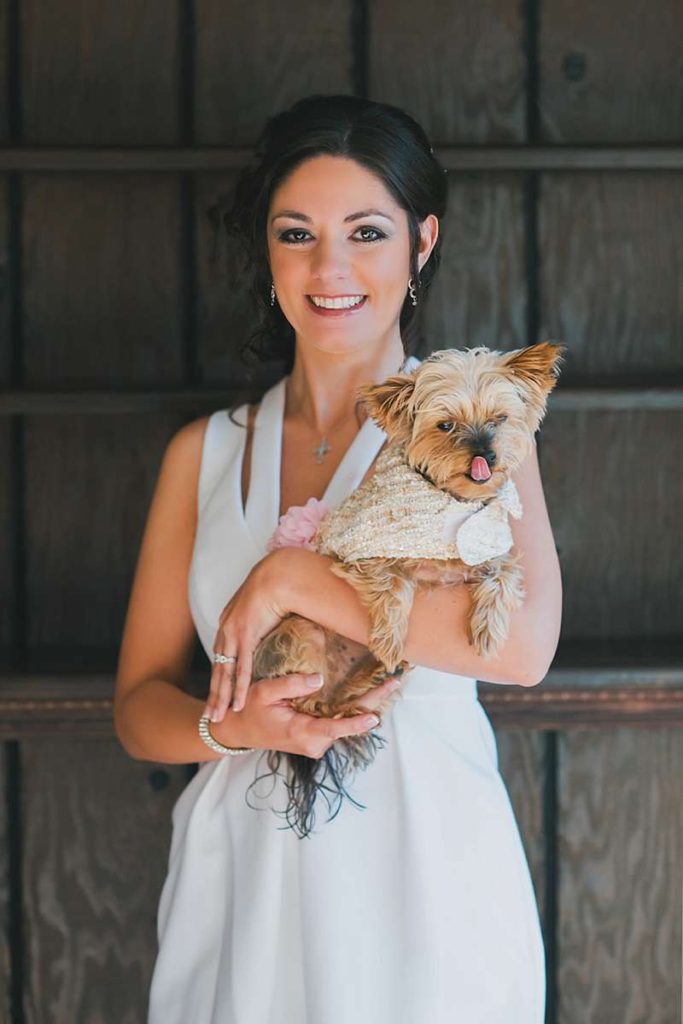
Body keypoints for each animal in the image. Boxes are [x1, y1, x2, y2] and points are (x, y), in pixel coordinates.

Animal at [248, 339, 565, 835]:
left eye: (499, 419)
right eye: (446, 425)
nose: (487, 455)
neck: (449, 501)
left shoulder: (491, 552)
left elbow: (502, 576)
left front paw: (486, 631)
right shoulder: (360, 554)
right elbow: (395, 586)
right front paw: (391, 637)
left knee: (344, 701)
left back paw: (373, 674)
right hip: (300, 636)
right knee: (314, 705)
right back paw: (365, 673)